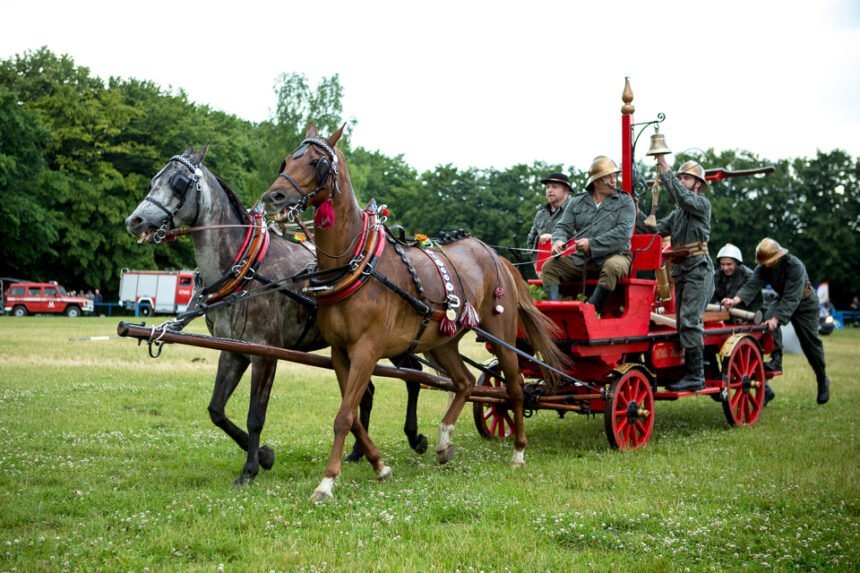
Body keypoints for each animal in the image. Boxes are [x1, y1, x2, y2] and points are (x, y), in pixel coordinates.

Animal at [124, 145, 426, 484]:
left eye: (178, 183)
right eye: (154, 180)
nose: (134, 221)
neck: (247, 268)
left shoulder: (265, 355)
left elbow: (255, 415)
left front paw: (251, 468)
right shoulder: (233, 350)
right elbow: (216, 410)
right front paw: (265, 455)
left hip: (393, 340)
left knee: (414, 374)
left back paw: (415, 436)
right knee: (369, 391)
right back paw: (359, 452)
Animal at [262, 125, 572, 500]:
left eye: (316, 162)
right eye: (287, 160)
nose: (273, 197)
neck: (356, 263)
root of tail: (494, 255)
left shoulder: (366, 350)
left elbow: (344, 416)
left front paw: (327, 482)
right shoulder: (340, 352)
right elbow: (353, 417)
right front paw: (380, 466)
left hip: (501, 332)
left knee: (513, 388)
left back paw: (518, 451)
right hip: (442, 341)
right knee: (465, 382)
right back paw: (443, 441)